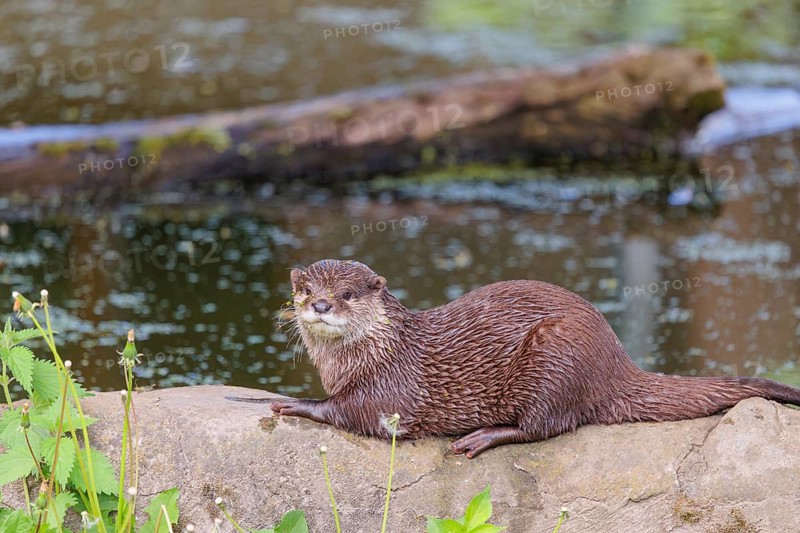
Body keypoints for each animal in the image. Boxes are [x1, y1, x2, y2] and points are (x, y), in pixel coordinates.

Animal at [235, 259, 800, 458]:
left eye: (347, 294)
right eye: (306, 291)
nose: (322, 306)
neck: (375, 353)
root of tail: (617, 363)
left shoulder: (388, 389)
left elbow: (352, 412)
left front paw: (294, 403)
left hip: (555, 357)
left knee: (546, 426)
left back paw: (480, 437)